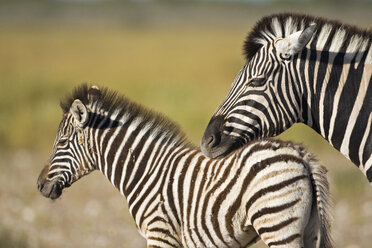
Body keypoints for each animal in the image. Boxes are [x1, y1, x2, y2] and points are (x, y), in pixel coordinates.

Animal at [37, 85, 332, 248]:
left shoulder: (160, 233)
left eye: (61, 142)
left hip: (277, 224)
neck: (143, 170)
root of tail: (302, 155)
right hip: (309, 229)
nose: (40, 185)